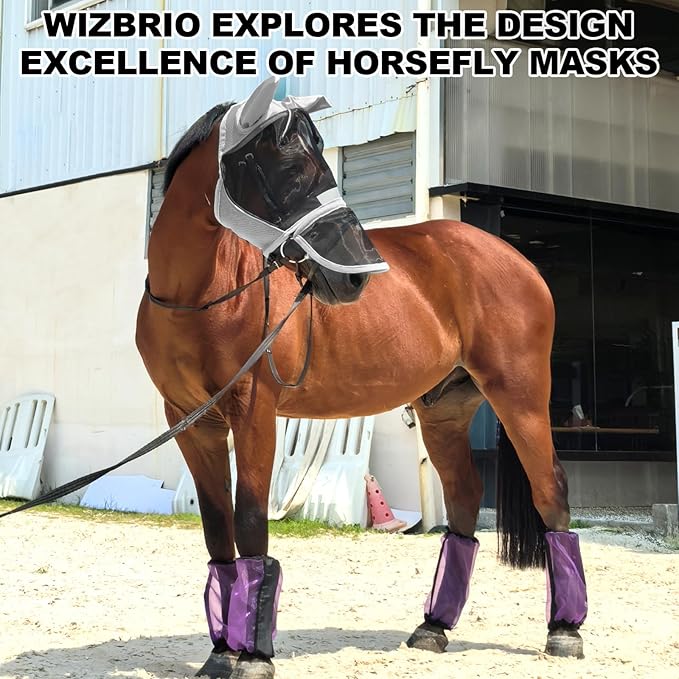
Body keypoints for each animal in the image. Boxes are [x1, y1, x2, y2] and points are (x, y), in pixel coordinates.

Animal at [136, 78, 587, 679]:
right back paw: (433, 627)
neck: (199, 296)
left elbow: (250, 518)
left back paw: (564, 631)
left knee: (550, 490)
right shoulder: (192, 422)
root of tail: (517, 260)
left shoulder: (253, 412)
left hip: (521, 397)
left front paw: (252, 655)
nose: (353, 277)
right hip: (444, 409)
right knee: (464, 497)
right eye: (289, 167)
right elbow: (216, 528)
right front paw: (221, 651)